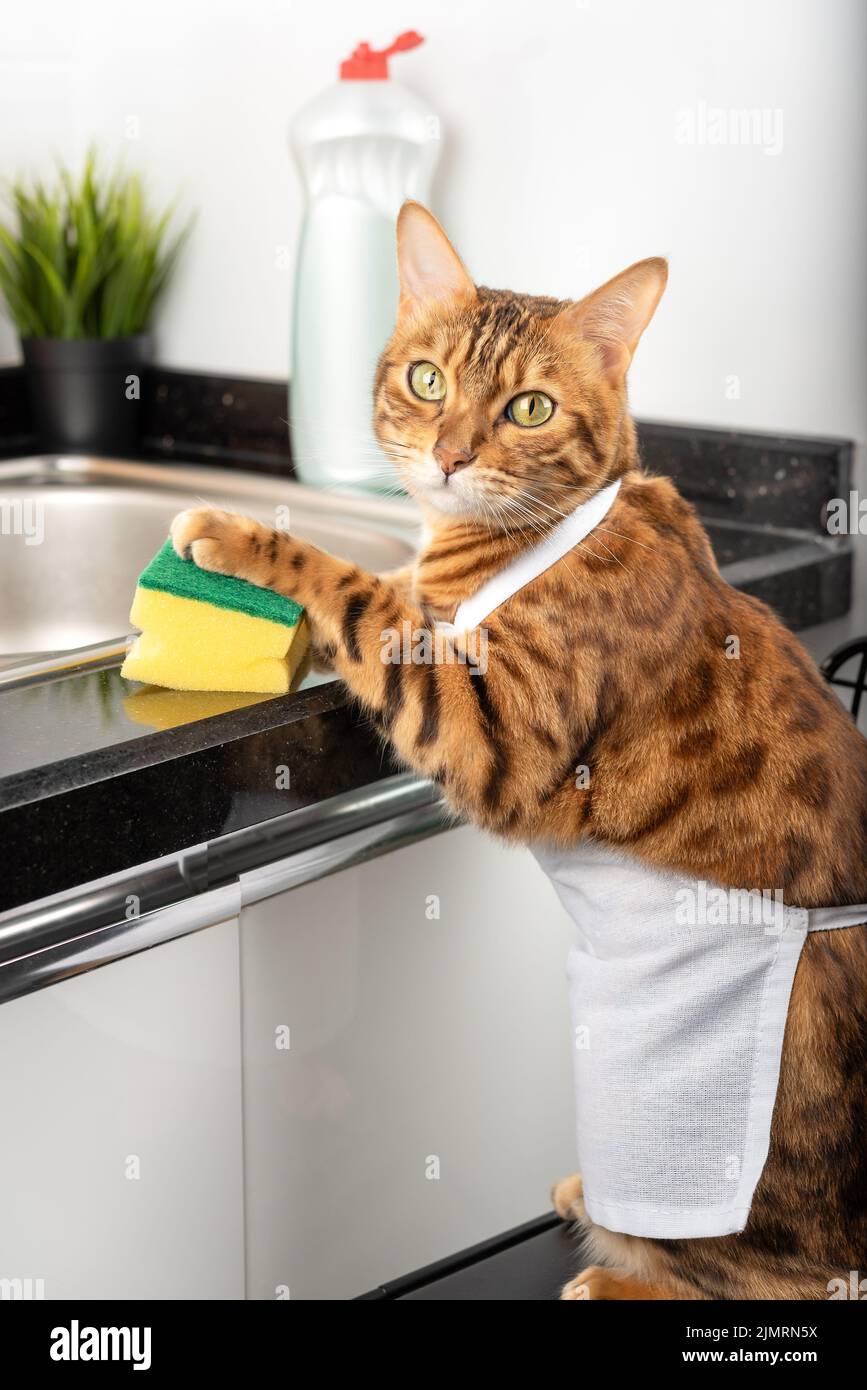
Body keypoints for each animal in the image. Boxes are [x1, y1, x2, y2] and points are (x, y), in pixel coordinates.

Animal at [169, 201, 867, 1295]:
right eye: (428, 381)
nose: (450, 455)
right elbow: (389, 584)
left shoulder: (490, 730)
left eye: (530, 408)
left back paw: (612, 1268)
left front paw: (244, 538)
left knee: (757, 1273)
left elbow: (360, 594)